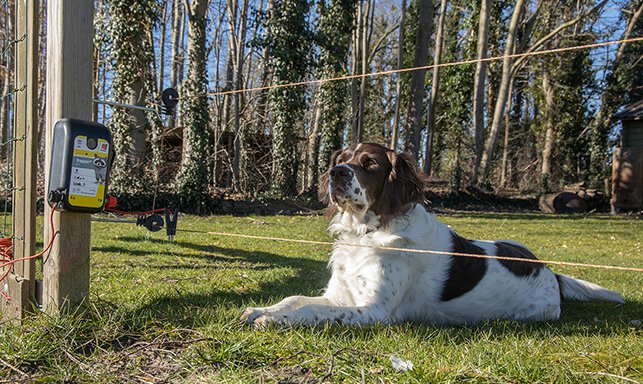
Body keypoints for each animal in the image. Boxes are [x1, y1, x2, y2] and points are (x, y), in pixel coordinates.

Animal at [242, 143, 624, 328]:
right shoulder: (341, 296)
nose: (337, 172)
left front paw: (271, 320)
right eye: (342, 157)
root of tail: (548, 270)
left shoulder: (375, 312)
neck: (367, 233)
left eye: (370, 164)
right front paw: (262, 309)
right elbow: (295, 299)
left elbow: (310, 311)